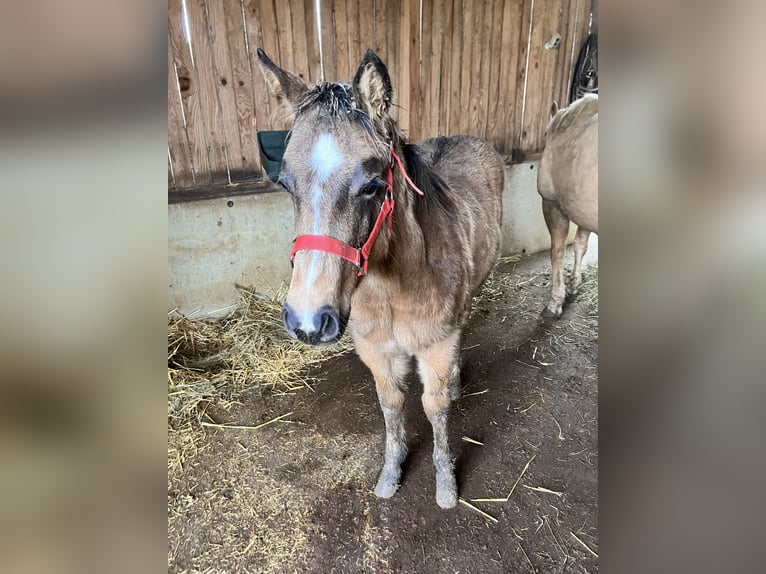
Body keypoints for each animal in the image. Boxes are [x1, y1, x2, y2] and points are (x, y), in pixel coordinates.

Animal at [257, 48, 504, 508]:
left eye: (373, 185)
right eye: (285, 184)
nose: (307, 322)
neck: (392, 289)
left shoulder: (436, 346)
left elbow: (435, 407)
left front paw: (446, 484)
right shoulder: (374, 350)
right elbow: (391, 405)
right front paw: (391, 473)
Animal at [537, 94, 598, 318]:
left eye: (546, 134)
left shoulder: (552, 204)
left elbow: (557, 253)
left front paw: (555, 301)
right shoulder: (583, 210)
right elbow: (580, 245)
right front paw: (573, 284)